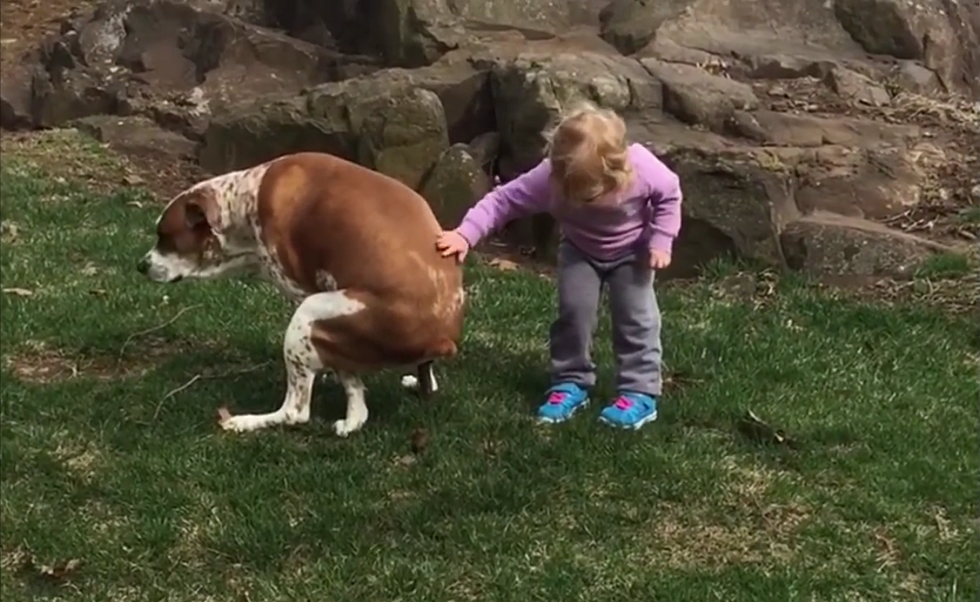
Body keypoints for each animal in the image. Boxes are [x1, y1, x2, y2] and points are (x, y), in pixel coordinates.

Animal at [135, 149, 468, 434]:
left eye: (165, 236)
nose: (140, 265)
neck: (245, 201)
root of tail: (441, 338)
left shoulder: (305, 291)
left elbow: (347, 381)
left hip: (306, 315)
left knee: (296, 412)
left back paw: (246, 422)